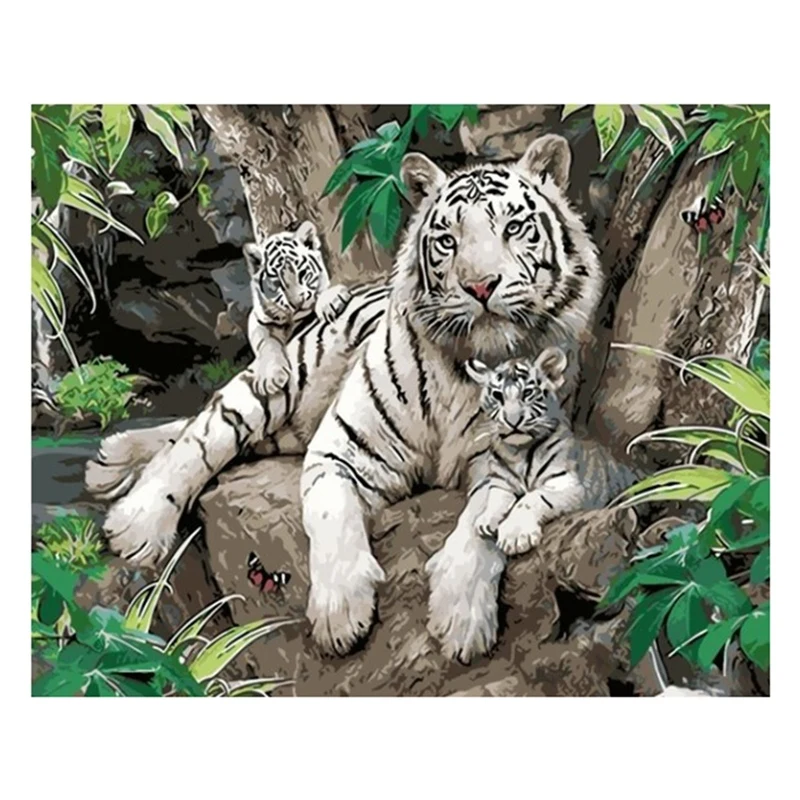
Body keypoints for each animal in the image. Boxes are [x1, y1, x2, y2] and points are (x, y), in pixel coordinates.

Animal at [244, 220, 352, 395]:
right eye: (277, 283)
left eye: (302, 273)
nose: (297, 303)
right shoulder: (257, 320)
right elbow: (265, 343)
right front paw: (270, 378)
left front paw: (330, 301)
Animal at [300, 134, 604, 663]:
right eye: (448, 240)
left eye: (514, 227)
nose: (480, 286)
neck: (462, 370)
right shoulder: (338, 451)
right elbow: (331, 511)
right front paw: (339, 616)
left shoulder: (499, 457)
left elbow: (480, 525)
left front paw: (461, 621)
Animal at [464, 348, 637, 557]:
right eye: (498, 396)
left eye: (527, 393)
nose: (512, 421)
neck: (518, 451)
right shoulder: (501, 481)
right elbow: (496, 497)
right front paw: (486, 519)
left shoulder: (566, 484)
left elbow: (531, 498)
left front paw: (515, 536)